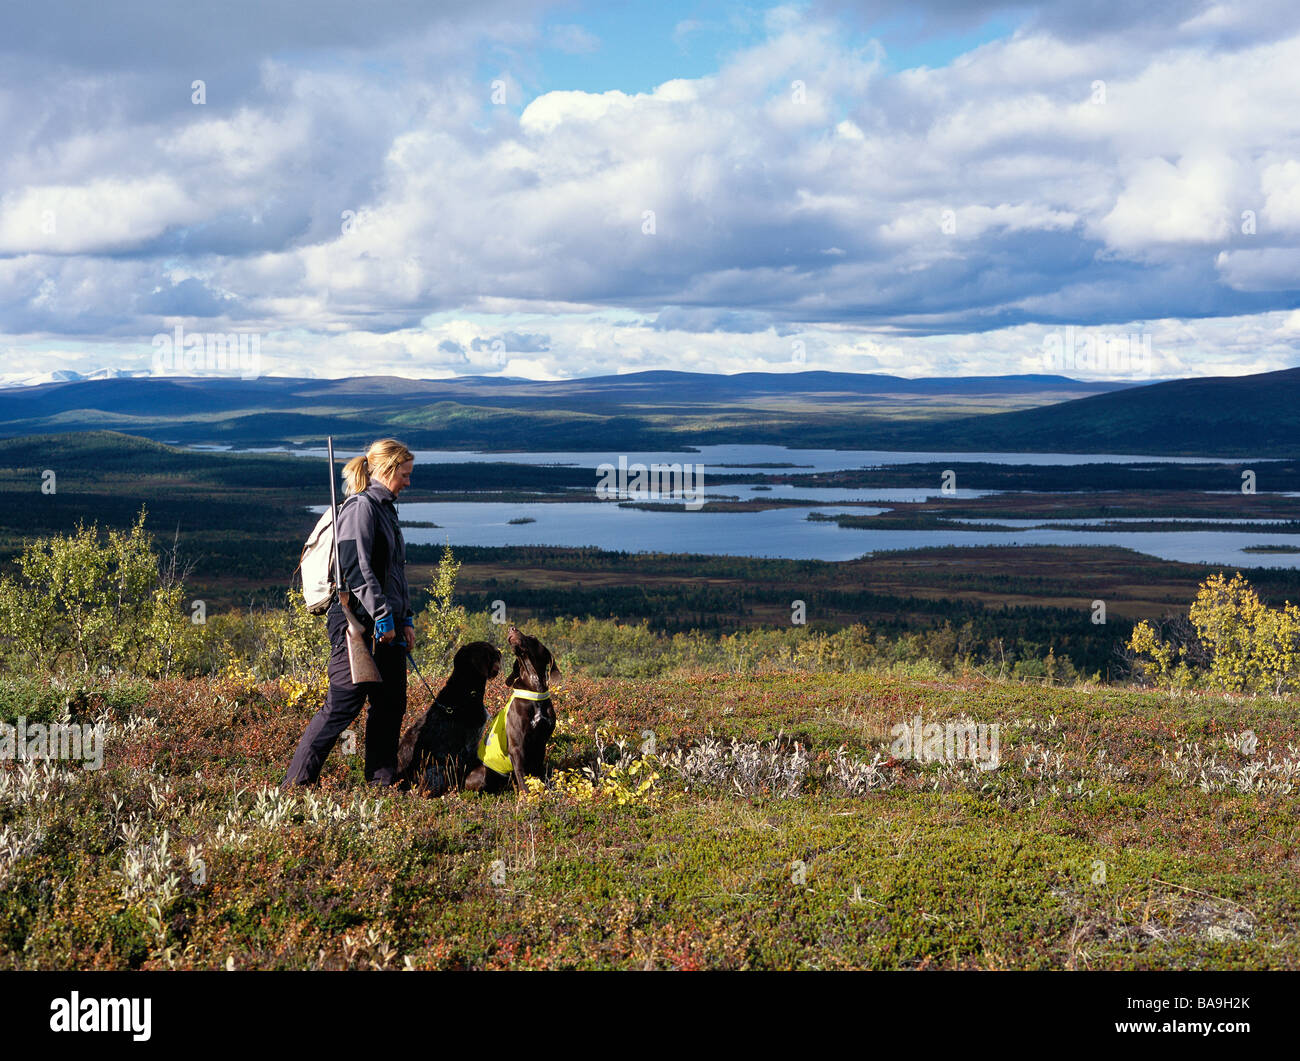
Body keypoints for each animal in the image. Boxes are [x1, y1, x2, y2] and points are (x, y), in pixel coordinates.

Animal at [465, 626, 561, 790]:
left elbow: (538, 773)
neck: (535, 688)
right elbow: (522, 778)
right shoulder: (517, 747)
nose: (512, 628)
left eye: (533, 637)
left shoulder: (541, 743)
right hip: (483, 772)